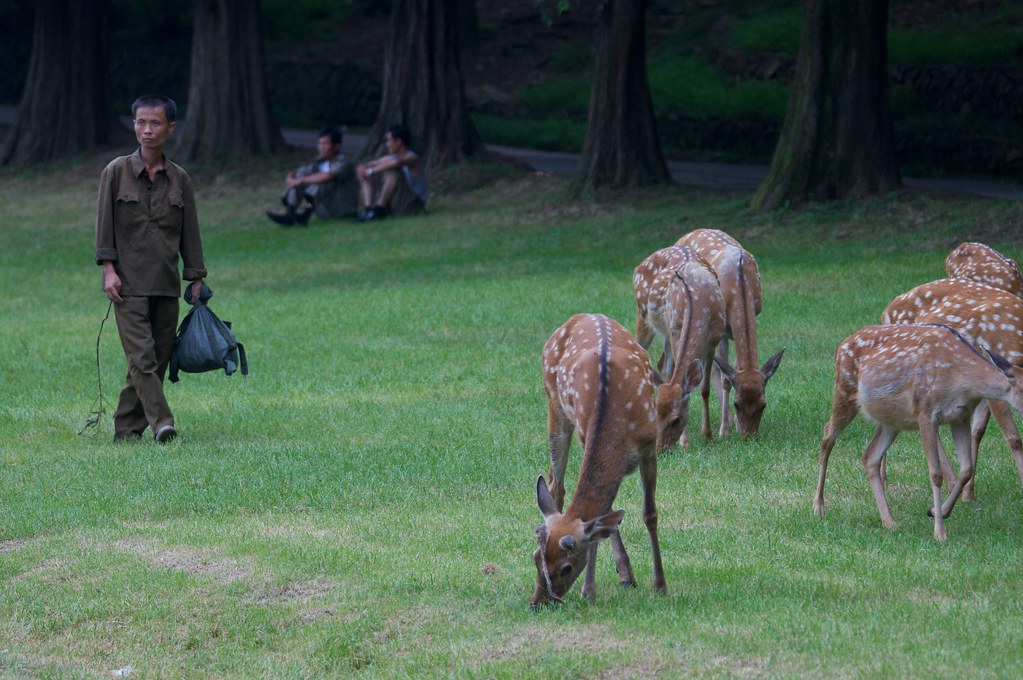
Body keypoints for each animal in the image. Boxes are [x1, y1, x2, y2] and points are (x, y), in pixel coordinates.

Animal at [531, 312, 666, 605]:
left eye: (566, 567)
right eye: (536, 558)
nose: (538, 602)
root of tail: (581, 315)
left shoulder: (650, 445)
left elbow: (649, 514)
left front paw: (660, 585)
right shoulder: (585, 435)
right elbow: (600, 519)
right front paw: (589, 591)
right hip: (554, 405)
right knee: (557, 484)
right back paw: (625, 573)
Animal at [630, 245, 728, 449]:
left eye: (675, 420)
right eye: (656, 416)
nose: (661, 448)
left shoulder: (713, 341)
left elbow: (704, 389)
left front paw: (707, 435)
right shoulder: (676, 330)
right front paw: (685, 442)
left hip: (666, 332)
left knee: (663, 367)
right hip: (643, 317)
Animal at [679, 228, 781, 435]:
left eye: (763, 404)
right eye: (737, 404)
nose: (748, 435)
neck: (739, 284)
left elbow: (735, 365)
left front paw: (732, 422)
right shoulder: (723, 330)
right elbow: (725, 377)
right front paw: (724, 429)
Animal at [814, 323, 1023, 539]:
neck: (963, 381)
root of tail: (840, 346)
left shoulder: (961, 416)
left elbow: (966, 469)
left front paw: (936, 511)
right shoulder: (926, 411)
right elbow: (936, 473)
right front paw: (939, 532)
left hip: (892, 421)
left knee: (870, 456)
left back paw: (889, 522)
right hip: (844, 389)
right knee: (828, 434)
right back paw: (819, 507)